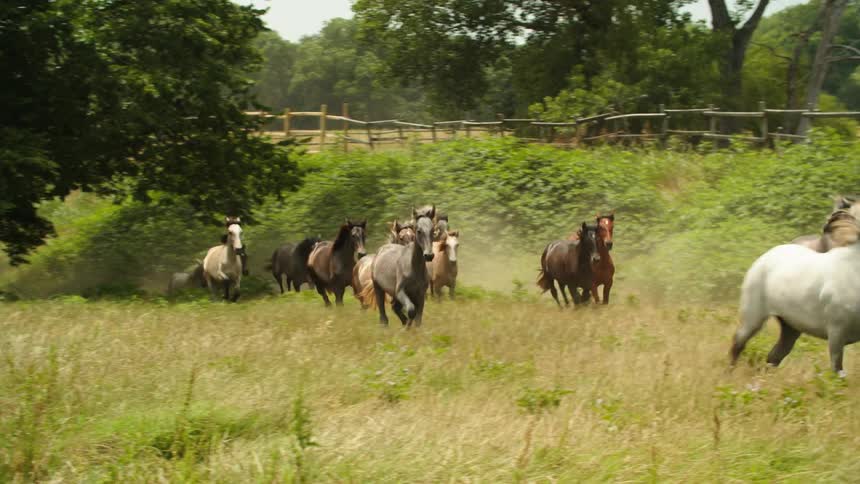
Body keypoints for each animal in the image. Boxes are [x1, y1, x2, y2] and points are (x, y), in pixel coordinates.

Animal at [730, 211, 860, 376]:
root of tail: (766, 255)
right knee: (738, 342)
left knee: (774, 356)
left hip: (790, 327)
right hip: (753, 317)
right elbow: (837, 370)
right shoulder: (836, 332)